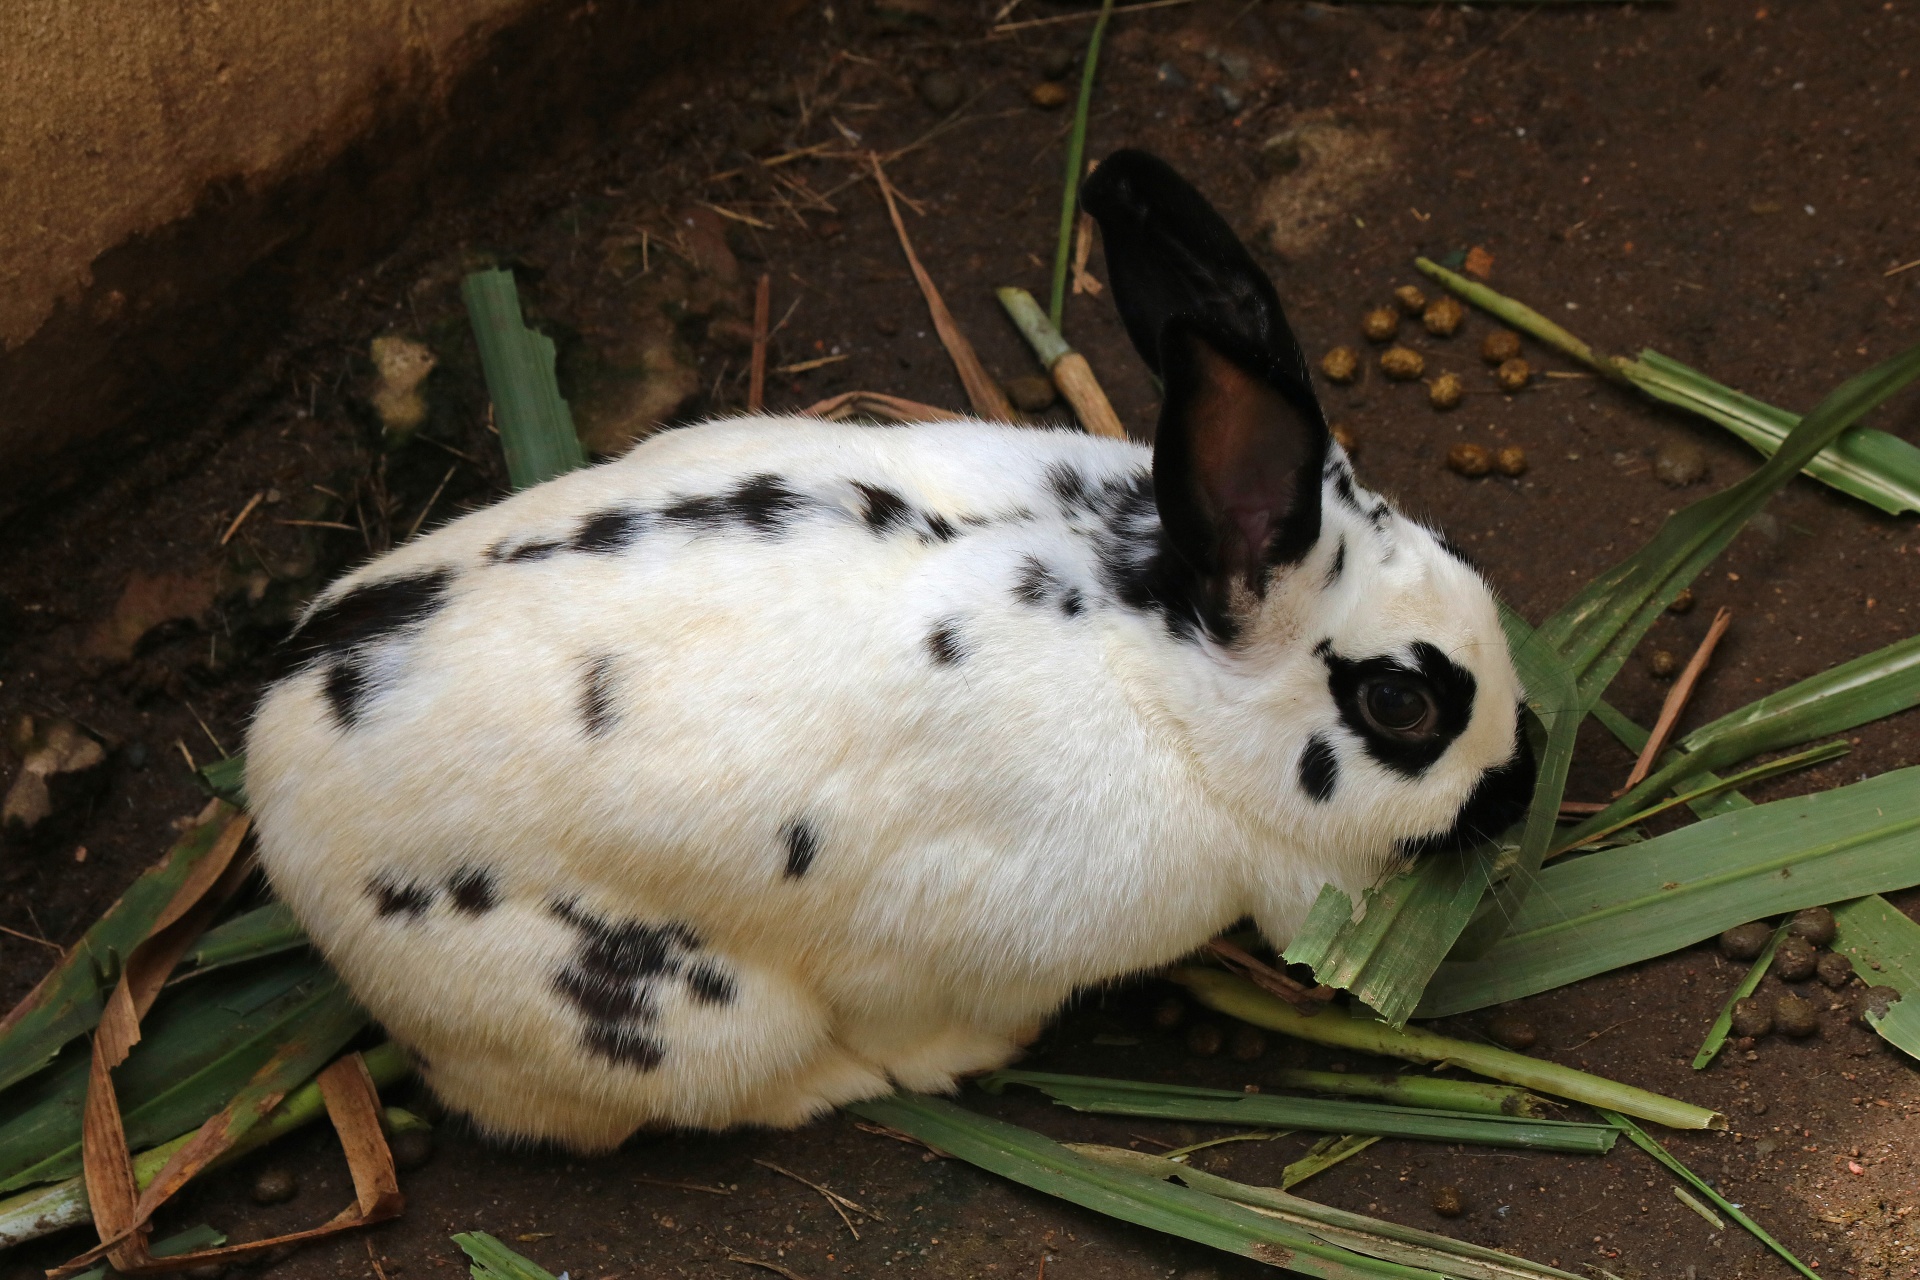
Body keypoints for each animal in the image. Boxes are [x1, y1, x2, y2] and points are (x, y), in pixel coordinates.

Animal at [247, 150, 1536, 1151]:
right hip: (671, 1014)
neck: (1153, 662)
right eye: (1401, 703)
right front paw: (965, 1050)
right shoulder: (946, 935)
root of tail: (275, 769)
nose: (1519, 783)